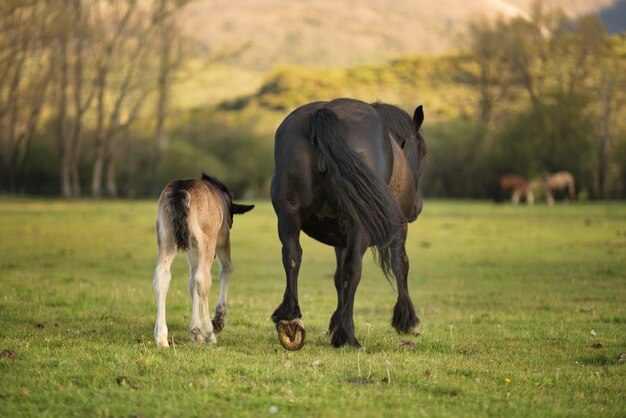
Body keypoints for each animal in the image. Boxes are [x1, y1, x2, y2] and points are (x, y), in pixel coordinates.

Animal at [270, 99, 426, 350]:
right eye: (422, 151)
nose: (417, 208)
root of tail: (323, 114)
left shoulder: (340, 237)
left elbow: (337, 275)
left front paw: (335, 321)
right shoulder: (398, 228)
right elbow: (401, 265)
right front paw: (407, 320)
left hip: (288, 214)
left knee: (292, 257)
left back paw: (291, 320)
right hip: (361, 223)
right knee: (354, 269)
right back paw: (348, 335)